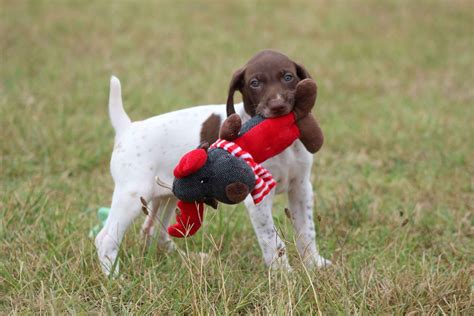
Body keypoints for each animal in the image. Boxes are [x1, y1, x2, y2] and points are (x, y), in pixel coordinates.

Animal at [94, 50, 328, 276]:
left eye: (288, 77)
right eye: (255, 83)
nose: (278, 106)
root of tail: (128, 128)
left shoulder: (301, 188)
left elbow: (306, 230)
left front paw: (314, 264)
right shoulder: (259, 196)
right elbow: (272, 238)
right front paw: (283, 273)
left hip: (167, 195)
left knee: (153, 231)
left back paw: (189, 259)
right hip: (133, 195)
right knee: (105, 238)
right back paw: (114, 278)